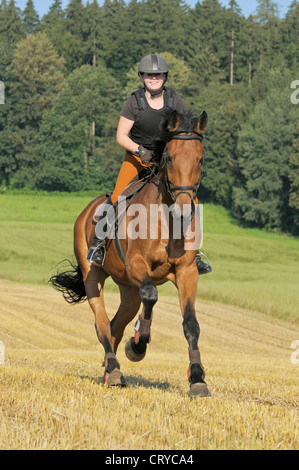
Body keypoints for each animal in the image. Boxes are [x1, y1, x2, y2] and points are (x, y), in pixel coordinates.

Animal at [51, 110, 211, 396]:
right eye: (169, 158)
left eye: (200, 159)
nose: (184, 209)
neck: (166, 219)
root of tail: (86, 211)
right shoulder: (136, 265)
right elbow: (152, 294)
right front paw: (137, 345)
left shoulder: (187, 271)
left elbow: (191, 324)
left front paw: (197, 379)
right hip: (94, 276)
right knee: (102, 323)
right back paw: (115, 370)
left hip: (128, 290)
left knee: (116, 325)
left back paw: (109, 369)